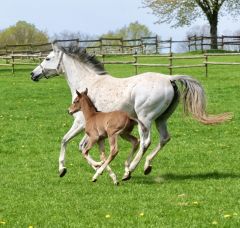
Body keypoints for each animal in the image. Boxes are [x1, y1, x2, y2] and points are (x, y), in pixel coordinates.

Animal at [30, 43, 231, 180]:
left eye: (47, 58)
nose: (33, 74)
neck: (87, 84)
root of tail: (169, 78)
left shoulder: (79, 123)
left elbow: (65, 141)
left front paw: (63, 169)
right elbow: (82, 147)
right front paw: (100, 169)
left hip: (145, 118)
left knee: (145, 141)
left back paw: (130, 170)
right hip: (161, 119)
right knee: (164, 138)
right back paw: (146, 166)